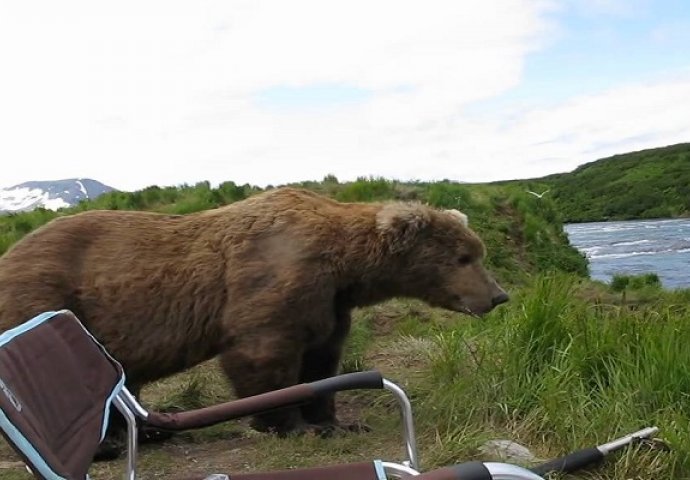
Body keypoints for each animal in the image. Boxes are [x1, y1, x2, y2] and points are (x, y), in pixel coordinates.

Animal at [0, 187, 506, 438]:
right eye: (464, 257)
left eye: (476, 252)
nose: (498, 295)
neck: (345, 266)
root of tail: (11, 252)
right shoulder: (274, 275)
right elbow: (262, 353)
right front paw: (288, 425)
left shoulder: (329, 303)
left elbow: (322, 359)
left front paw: (336, 421)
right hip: (47, 297)